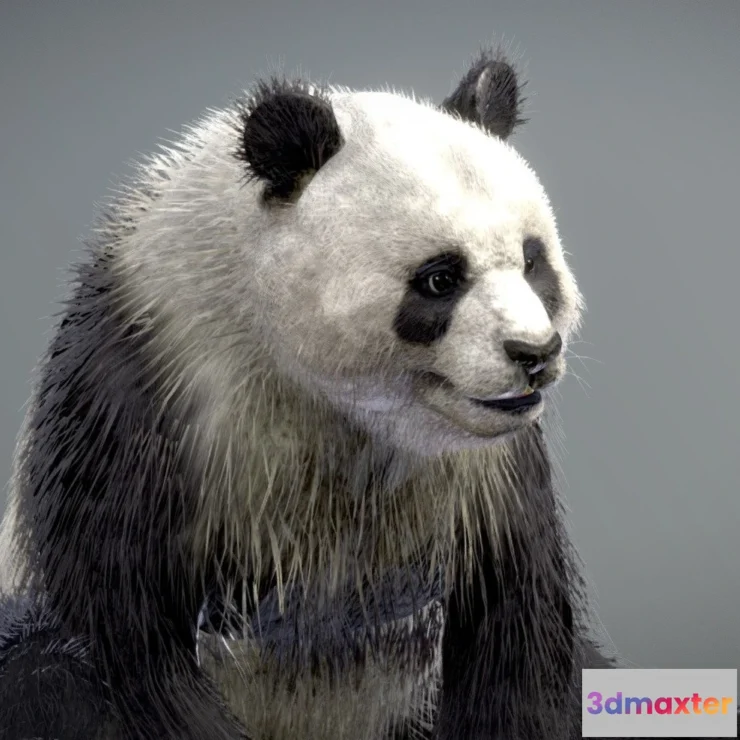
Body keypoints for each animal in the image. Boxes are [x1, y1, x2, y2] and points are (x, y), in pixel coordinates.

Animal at [0, 47, 621, 740]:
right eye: (440, 278)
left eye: (533, 261)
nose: (534, 355)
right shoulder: (145, 386)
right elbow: (126, 633)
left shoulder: (485, 474)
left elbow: (517, 625)